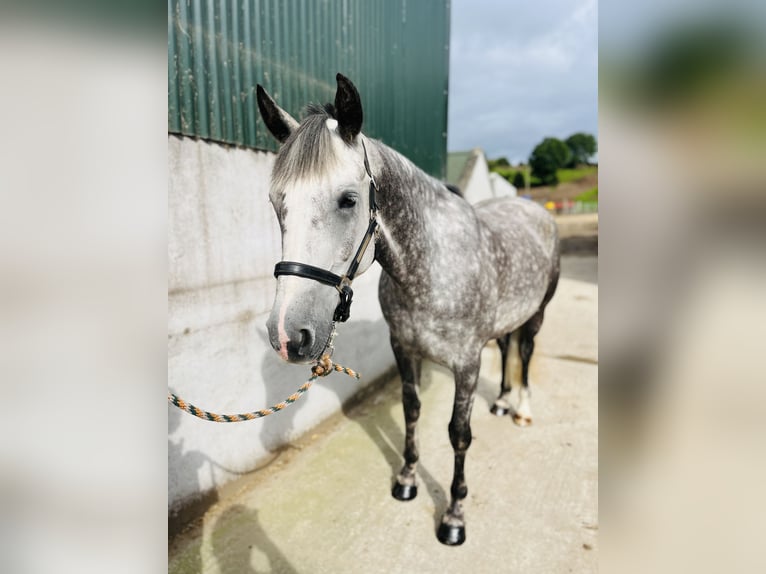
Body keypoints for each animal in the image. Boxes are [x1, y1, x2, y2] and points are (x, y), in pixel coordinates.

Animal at [257, 74, 560, 546]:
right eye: (276, 202)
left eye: (348, 200)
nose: (289, 335)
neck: (431, 267)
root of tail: (535, 210)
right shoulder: (404, 348)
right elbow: (411, 411)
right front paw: (406, 480)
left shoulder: (467, 364)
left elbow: (458, 434)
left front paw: (454, 516)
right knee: (508, 346)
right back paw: (501, 402)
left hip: (537, 314)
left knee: (524, 353)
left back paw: (522, 410)